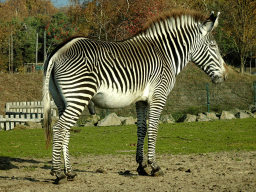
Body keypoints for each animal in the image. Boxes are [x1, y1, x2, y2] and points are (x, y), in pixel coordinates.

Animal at [43, 9, 227, 182]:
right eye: (213, 46)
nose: (225, 76)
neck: (165, 53)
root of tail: (58, 51)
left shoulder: (142, 100)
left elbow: (142, 129)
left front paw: (141, 166)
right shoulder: (159, 96)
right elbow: (153, 129)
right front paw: (154, 166)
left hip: (62, 101)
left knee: (65, 131)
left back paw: (70, 172)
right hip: (79, 95)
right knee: (59, 129)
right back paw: (58, 173)